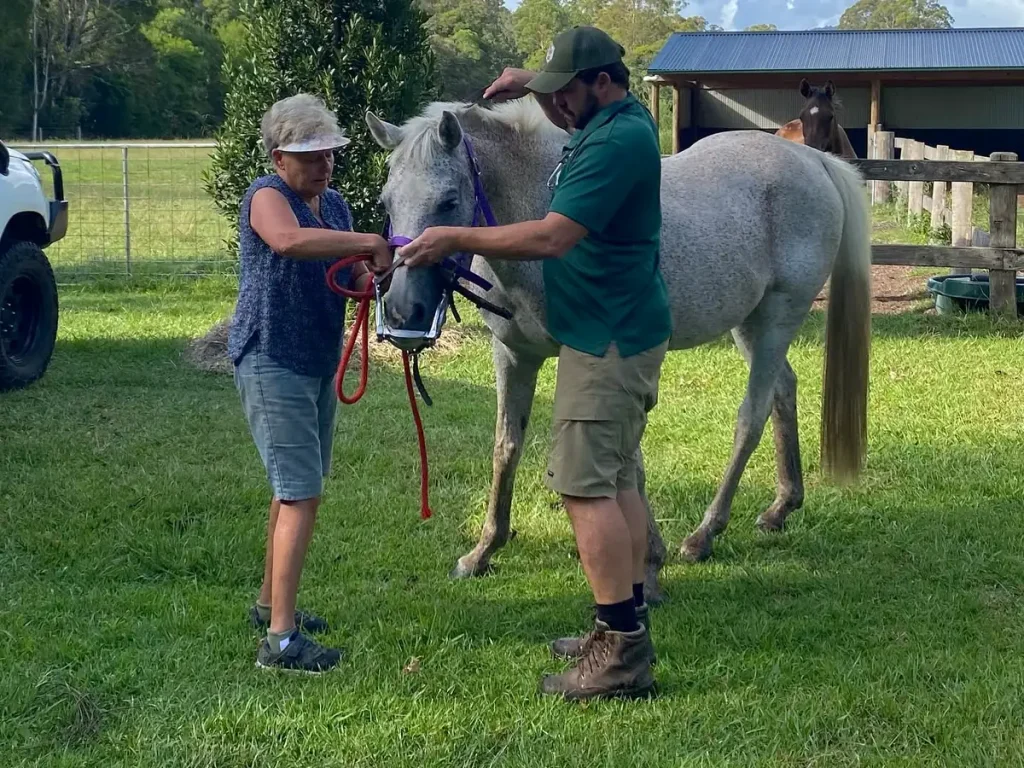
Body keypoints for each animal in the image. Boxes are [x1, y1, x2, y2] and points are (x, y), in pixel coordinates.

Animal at [365, 97, 871, 600]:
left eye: (448, 201)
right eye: (387, 202)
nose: (404, 310)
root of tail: (813, 161)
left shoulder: (604, 363)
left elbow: (629, 462)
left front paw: (649, 564)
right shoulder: (513, 355)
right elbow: (506, 445)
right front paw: (483, 552)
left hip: (776, 318)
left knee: (753, 414)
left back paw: (704, 535)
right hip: (749, 325)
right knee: (784, 391)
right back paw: (781, 507)